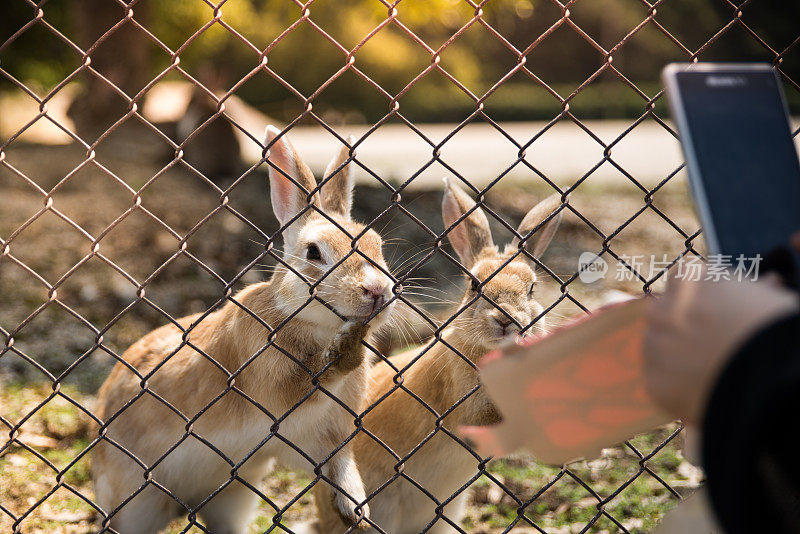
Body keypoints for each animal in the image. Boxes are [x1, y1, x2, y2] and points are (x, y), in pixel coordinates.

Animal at [91, 127, 396, 532]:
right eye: (314, 253)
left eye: (377, 245)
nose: (377, 291)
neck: (311, 324)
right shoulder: (276, 387)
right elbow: (313, 379)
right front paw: (345, 351)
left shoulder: (327, 437)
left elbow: (340, 465)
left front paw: (357, 509)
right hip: (136, 501)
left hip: (232, 499)